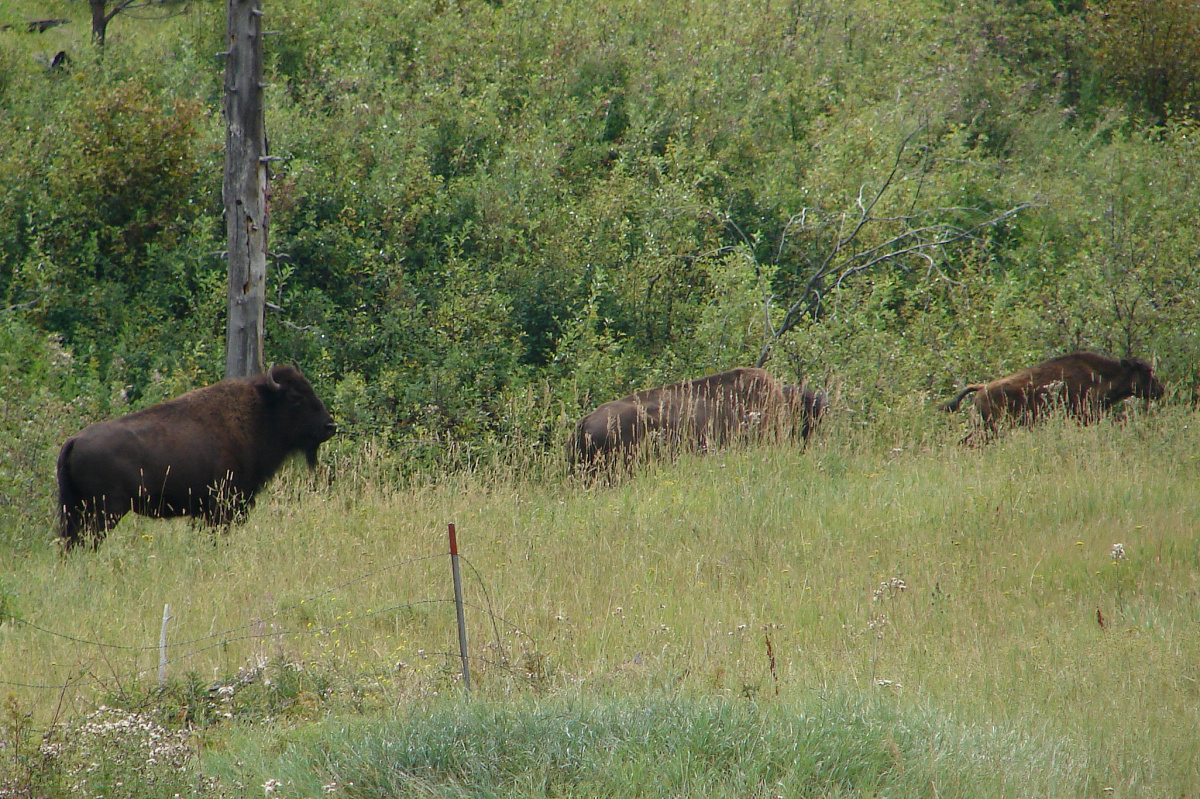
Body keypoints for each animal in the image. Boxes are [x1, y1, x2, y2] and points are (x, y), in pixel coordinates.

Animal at [56, 364, 336, 551]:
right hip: (105, 512)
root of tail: (74, 441)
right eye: (295, 398)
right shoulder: (222, 506)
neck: (259, 413)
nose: (330, 426)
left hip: (75, 510)